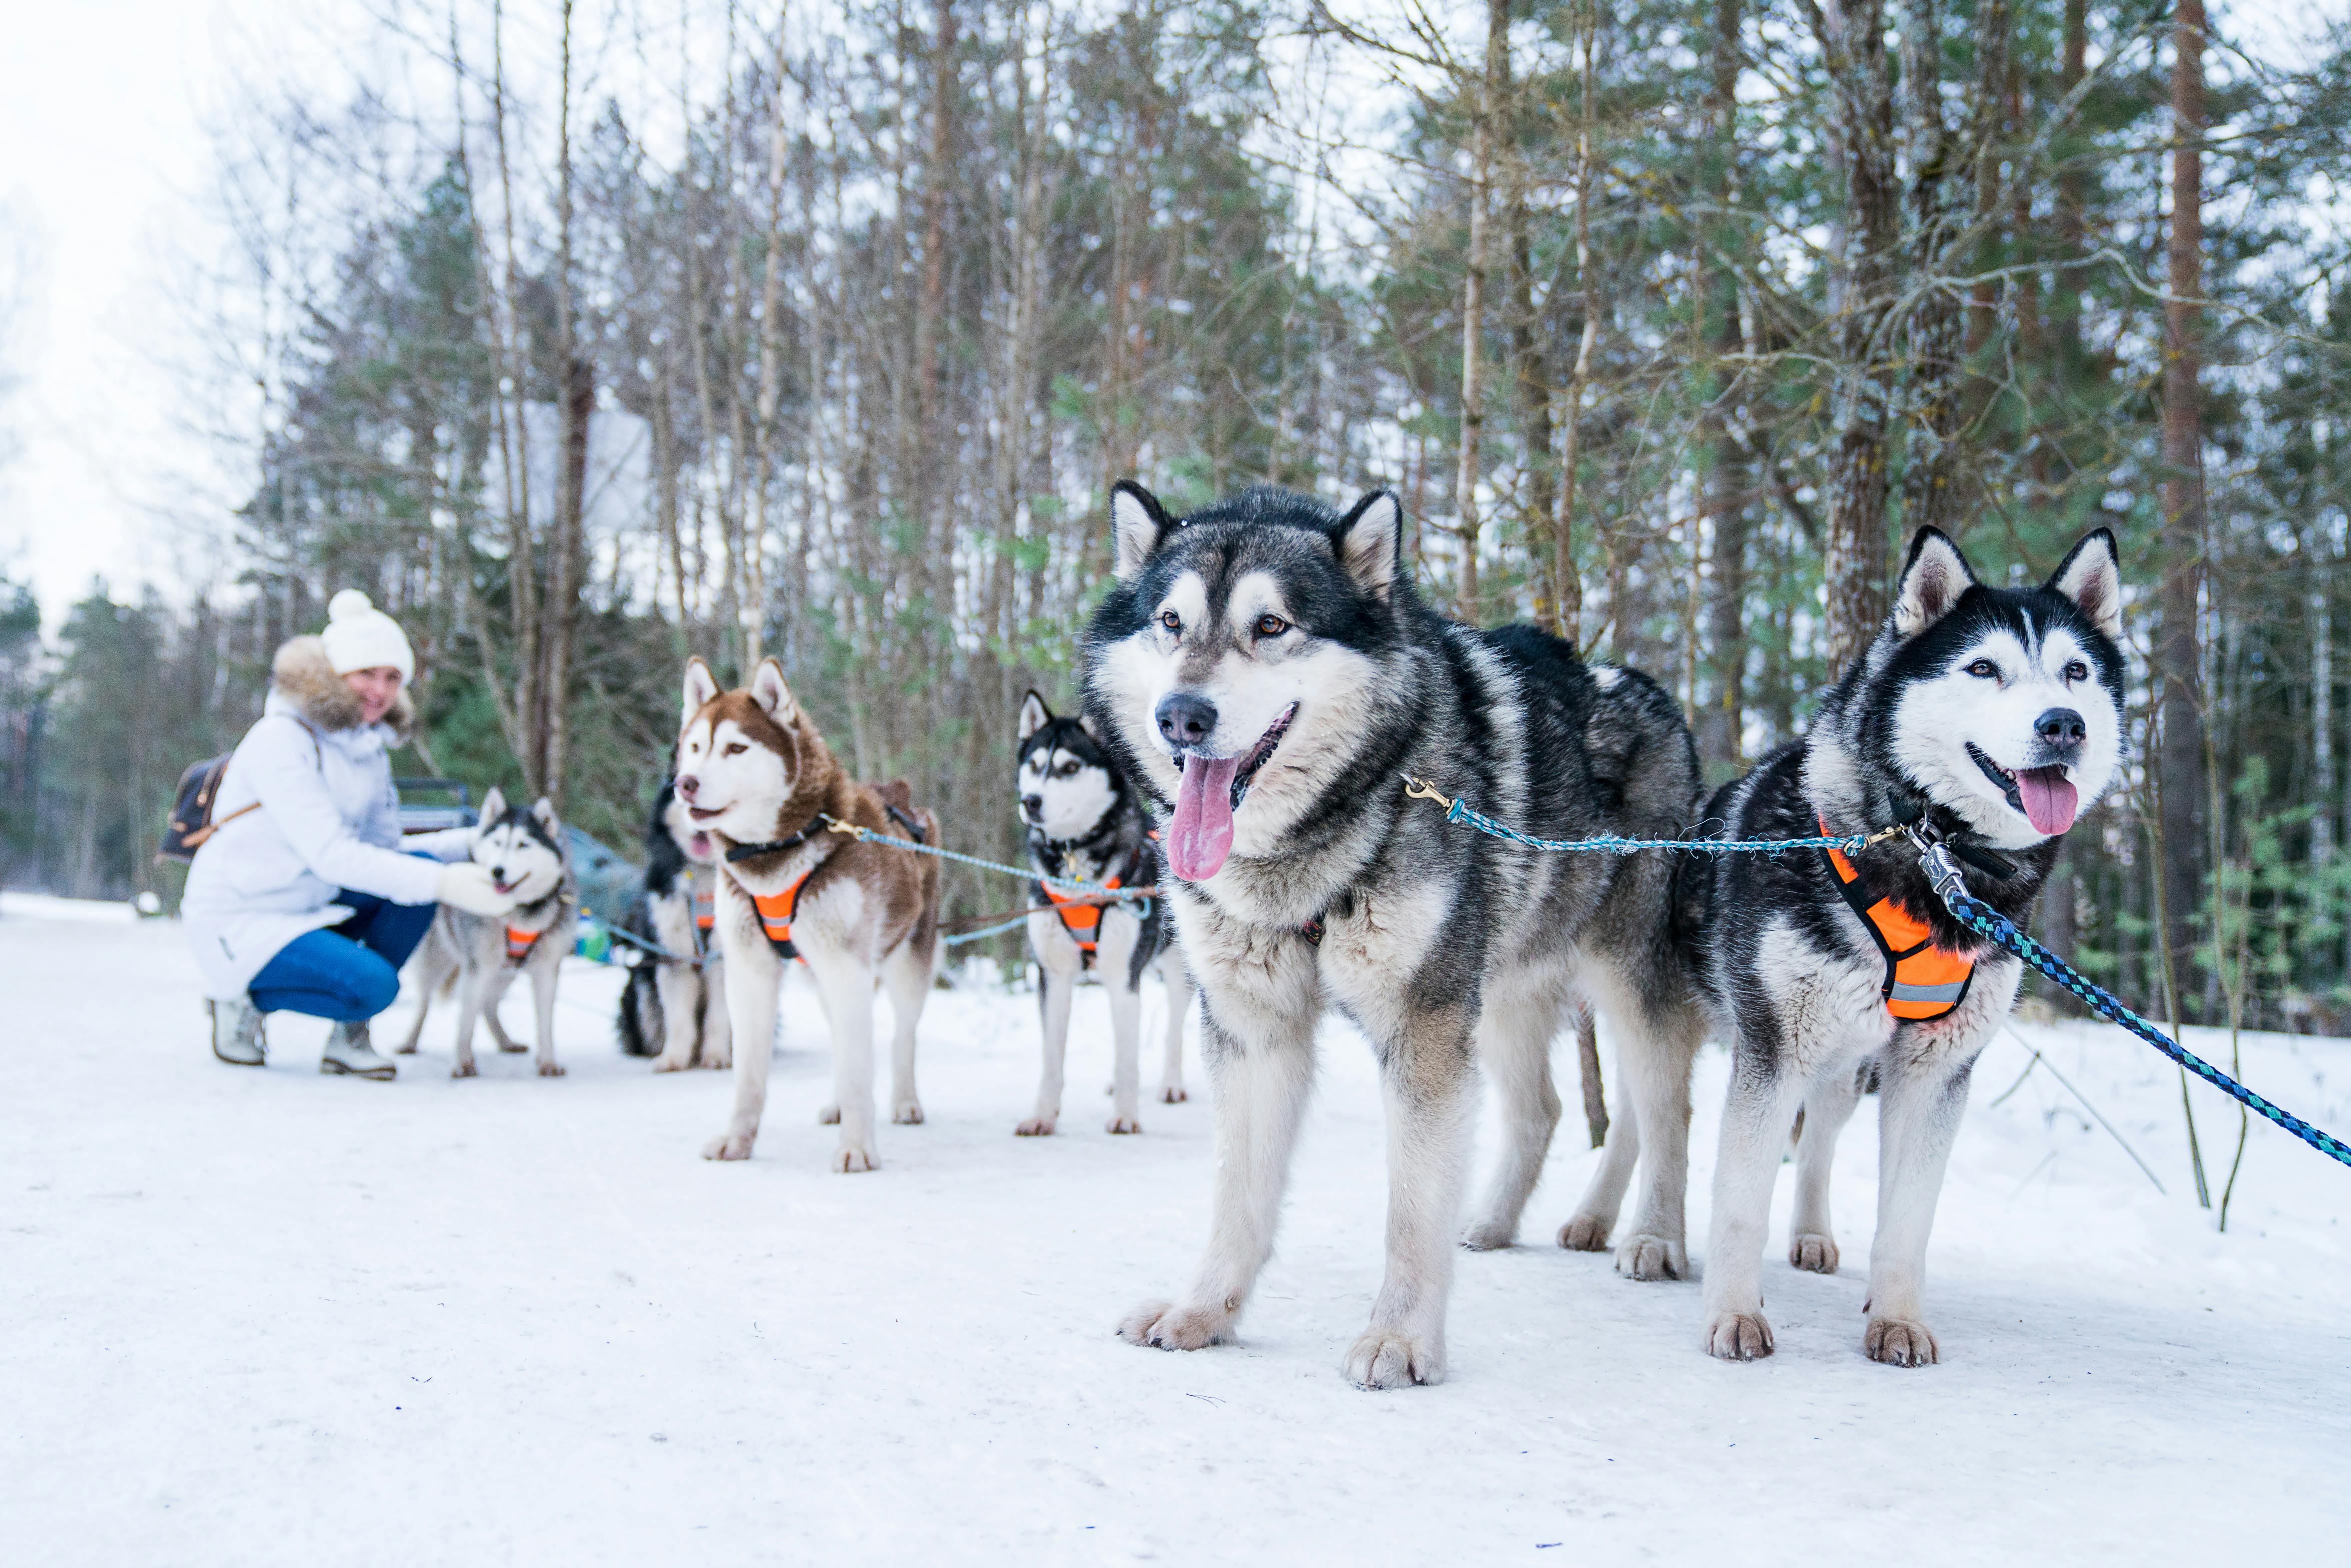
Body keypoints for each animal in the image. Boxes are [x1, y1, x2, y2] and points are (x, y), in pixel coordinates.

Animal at [395, 790, 578, 1072]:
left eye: (523, 845)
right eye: (498, 842)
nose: (497, 871)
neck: (519, 913)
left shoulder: (547, 969)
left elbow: (545, 1024)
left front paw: (548, 1063)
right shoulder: (478, 966)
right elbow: (466, 1021)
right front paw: (462, 1063)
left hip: (505, 971)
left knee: (488, 1005)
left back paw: (506, 1042)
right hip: (438, 959)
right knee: (425, 1001)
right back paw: (409, 1042)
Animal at [616, 780, 724, 1072]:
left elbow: (719, 1018)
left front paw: (718, 1058)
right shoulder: (673, 957)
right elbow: (678, 1020)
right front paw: (674, 1060)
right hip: (641, 986)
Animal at [1015, 691, 1194, 1133]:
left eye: (1071, 767)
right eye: (1034, 765)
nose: (1031, 801)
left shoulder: (1121, 974)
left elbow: (1129, 1055)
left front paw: (1126, 1117)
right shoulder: (1054, 975)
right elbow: (1052, 1059)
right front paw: (1043, 1116)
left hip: (1177, 970)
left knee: (1172, 1031)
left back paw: (1171, 1085)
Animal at [1081, 479, 1711, 1382]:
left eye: (1271, 624)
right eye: (1171, 621)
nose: (1182, 716)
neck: (1315, 847)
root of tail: (1650, 693)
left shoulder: (1422, 1026)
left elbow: (1411, 1208)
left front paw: (1400, 1340)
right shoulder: (1252, 1029)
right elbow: (1239, 1195)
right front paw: (1204, 1312)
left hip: (1624, 985)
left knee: (1665, 1110)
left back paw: (1656, 1236)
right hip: (1502, 996)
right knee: (1545, 1110)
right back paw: (1494, 1223)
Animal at [1674, 524, 2134, 1363]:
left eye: (2076, 671)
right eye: (1983, 667)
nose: (2063, 723)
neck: (1933, 854)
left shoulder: (1935, 1067)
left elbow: (1908, 1219)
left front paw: (1896, 1319)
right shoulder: (1772, 1048)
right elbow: (1739, 1200)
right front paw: (1733, 1314)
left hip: (1847, 1064)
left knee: (1819, 1139)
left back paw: (1813, 1234)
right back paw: (1639, 1235)